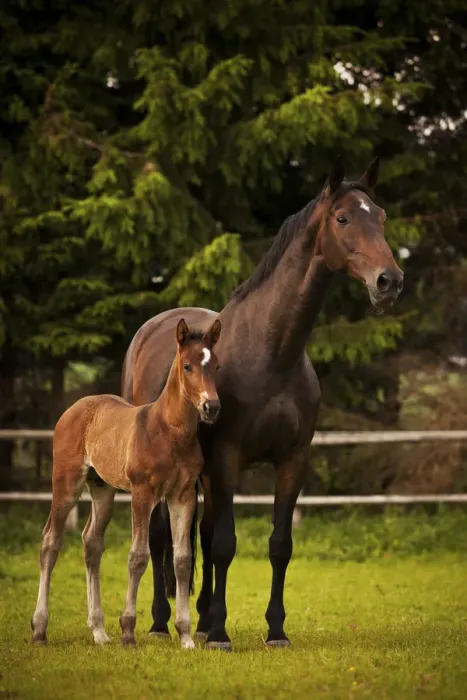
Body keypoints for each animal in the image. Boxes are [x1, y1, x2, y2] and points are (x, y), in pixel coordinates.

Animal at [31, 318, 222, 648]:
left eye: (216, 365)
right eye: (187, 366)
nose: (212, 407)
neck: (170, 432)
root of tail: (76, 407)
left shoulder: (182, 495)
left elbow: (182, 559)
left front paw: (185, 636)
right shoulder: (142, 493)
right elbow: (138, 556)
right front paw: (129, 631)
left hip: (102, 489)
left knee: (91, 543)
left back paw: (99, 632)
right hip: (66, 483)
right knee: (50, 542)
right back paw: (40, 629)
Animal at [121, 157, 404, 651]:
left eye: (382, 217)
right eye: (343, 218)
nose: (389, 282)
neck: (271, 353)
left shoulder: (292, 460)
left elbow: (277, 545)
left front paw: (274, 630)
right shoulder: (227, 458)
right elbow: (225, 544)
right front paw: (219, 633)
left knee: (198, 532)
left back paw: (197, 616)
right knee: (159, 537)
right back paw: (158, 623)